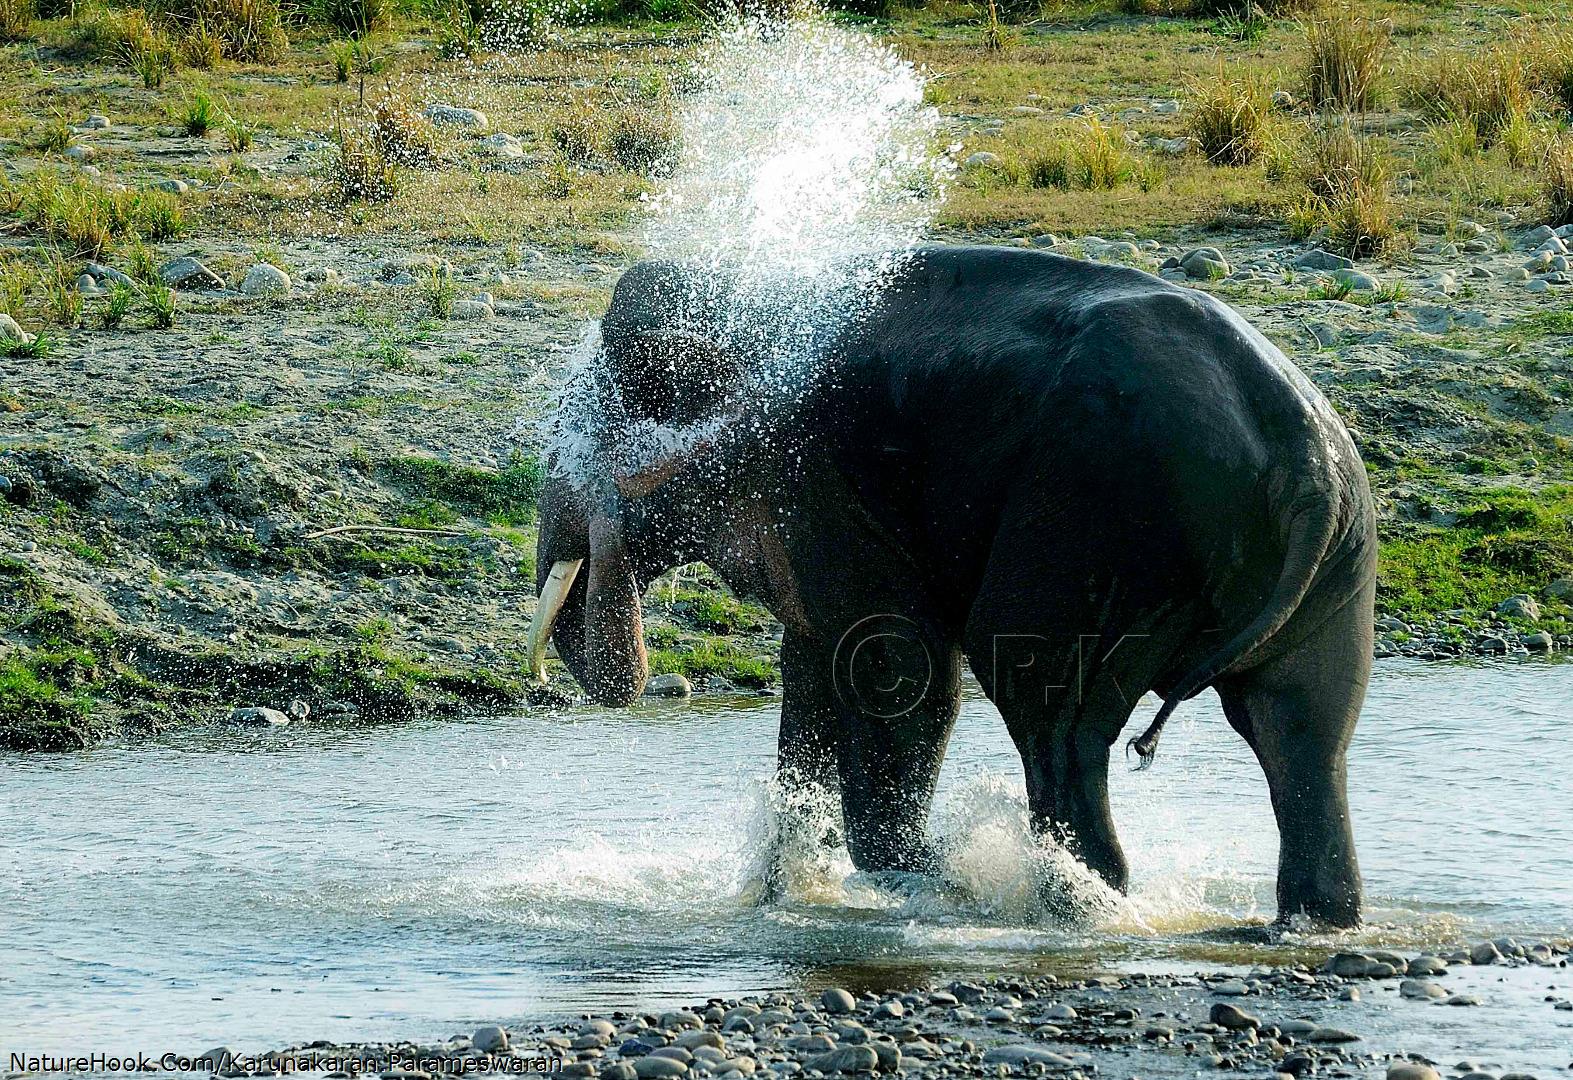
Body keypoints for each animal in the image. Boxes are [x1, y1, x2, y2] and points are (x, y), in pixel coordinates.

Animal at [528, 245, 1377, 930]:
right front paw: (785, 895)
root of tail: (1307, 464)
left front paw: (923, 881)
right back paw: (1309, 920)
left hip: (1102, 526)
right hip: (1334, 570)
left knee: (1047, 711)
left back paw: (1063, 903)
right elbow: (813, 665)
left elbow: (900, 666)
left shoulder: (817, 482)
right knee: (1303, 727)